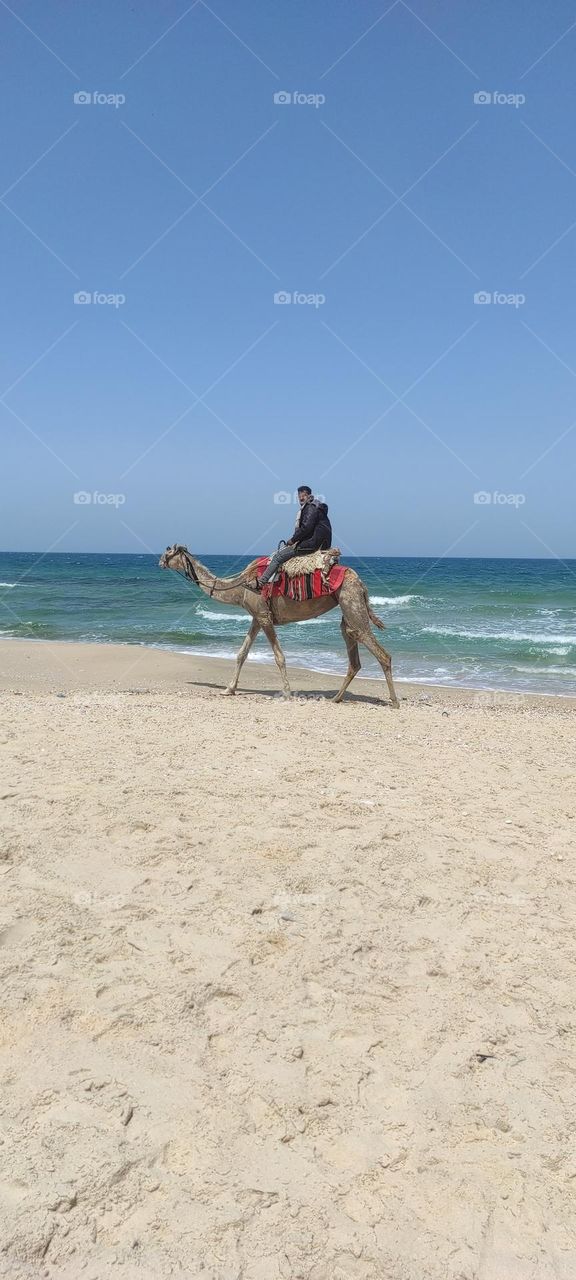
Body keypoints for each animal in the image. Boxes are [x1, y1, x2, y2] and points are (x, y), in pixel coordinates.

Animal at [159, 546, 399, 707]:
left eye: (168, 551)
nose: (159, 561)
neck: (239, 587)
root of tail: (361, 582)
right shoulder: (257, 617)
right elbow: (241, 653)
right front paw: (228, 689)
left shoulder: (264, 617)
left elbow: (279, 656)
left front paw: (286, 692)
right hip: (347, 613)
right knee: (354, 656)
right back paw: (336, 698)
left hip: (351, 602)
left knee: (381, 653)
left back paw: (394, 701)